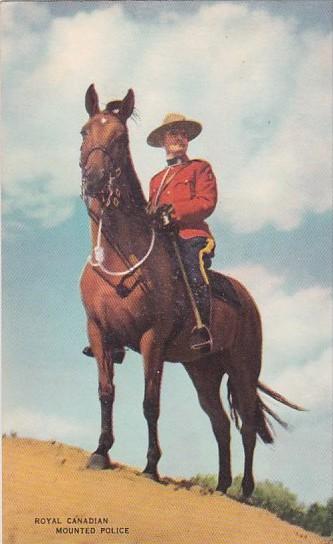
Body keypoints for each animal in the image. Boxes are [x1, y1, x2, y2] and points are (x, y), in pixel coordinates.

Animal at [79, 84, 302, 498]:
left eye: (120, 139)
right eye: (85, 131)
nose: (95, 180)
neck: (117, 258)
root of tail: (248, 300)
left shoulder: (151, 339)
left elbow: (150, 402)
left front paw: (151, 466)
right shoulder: (98, 332)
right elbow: (106, 391)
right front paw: (101, 451)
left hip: (242, 367)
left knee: (247, 424)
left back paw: (244, 489)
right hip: (203, 370)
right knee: (220, 423)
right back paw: (221, 485)